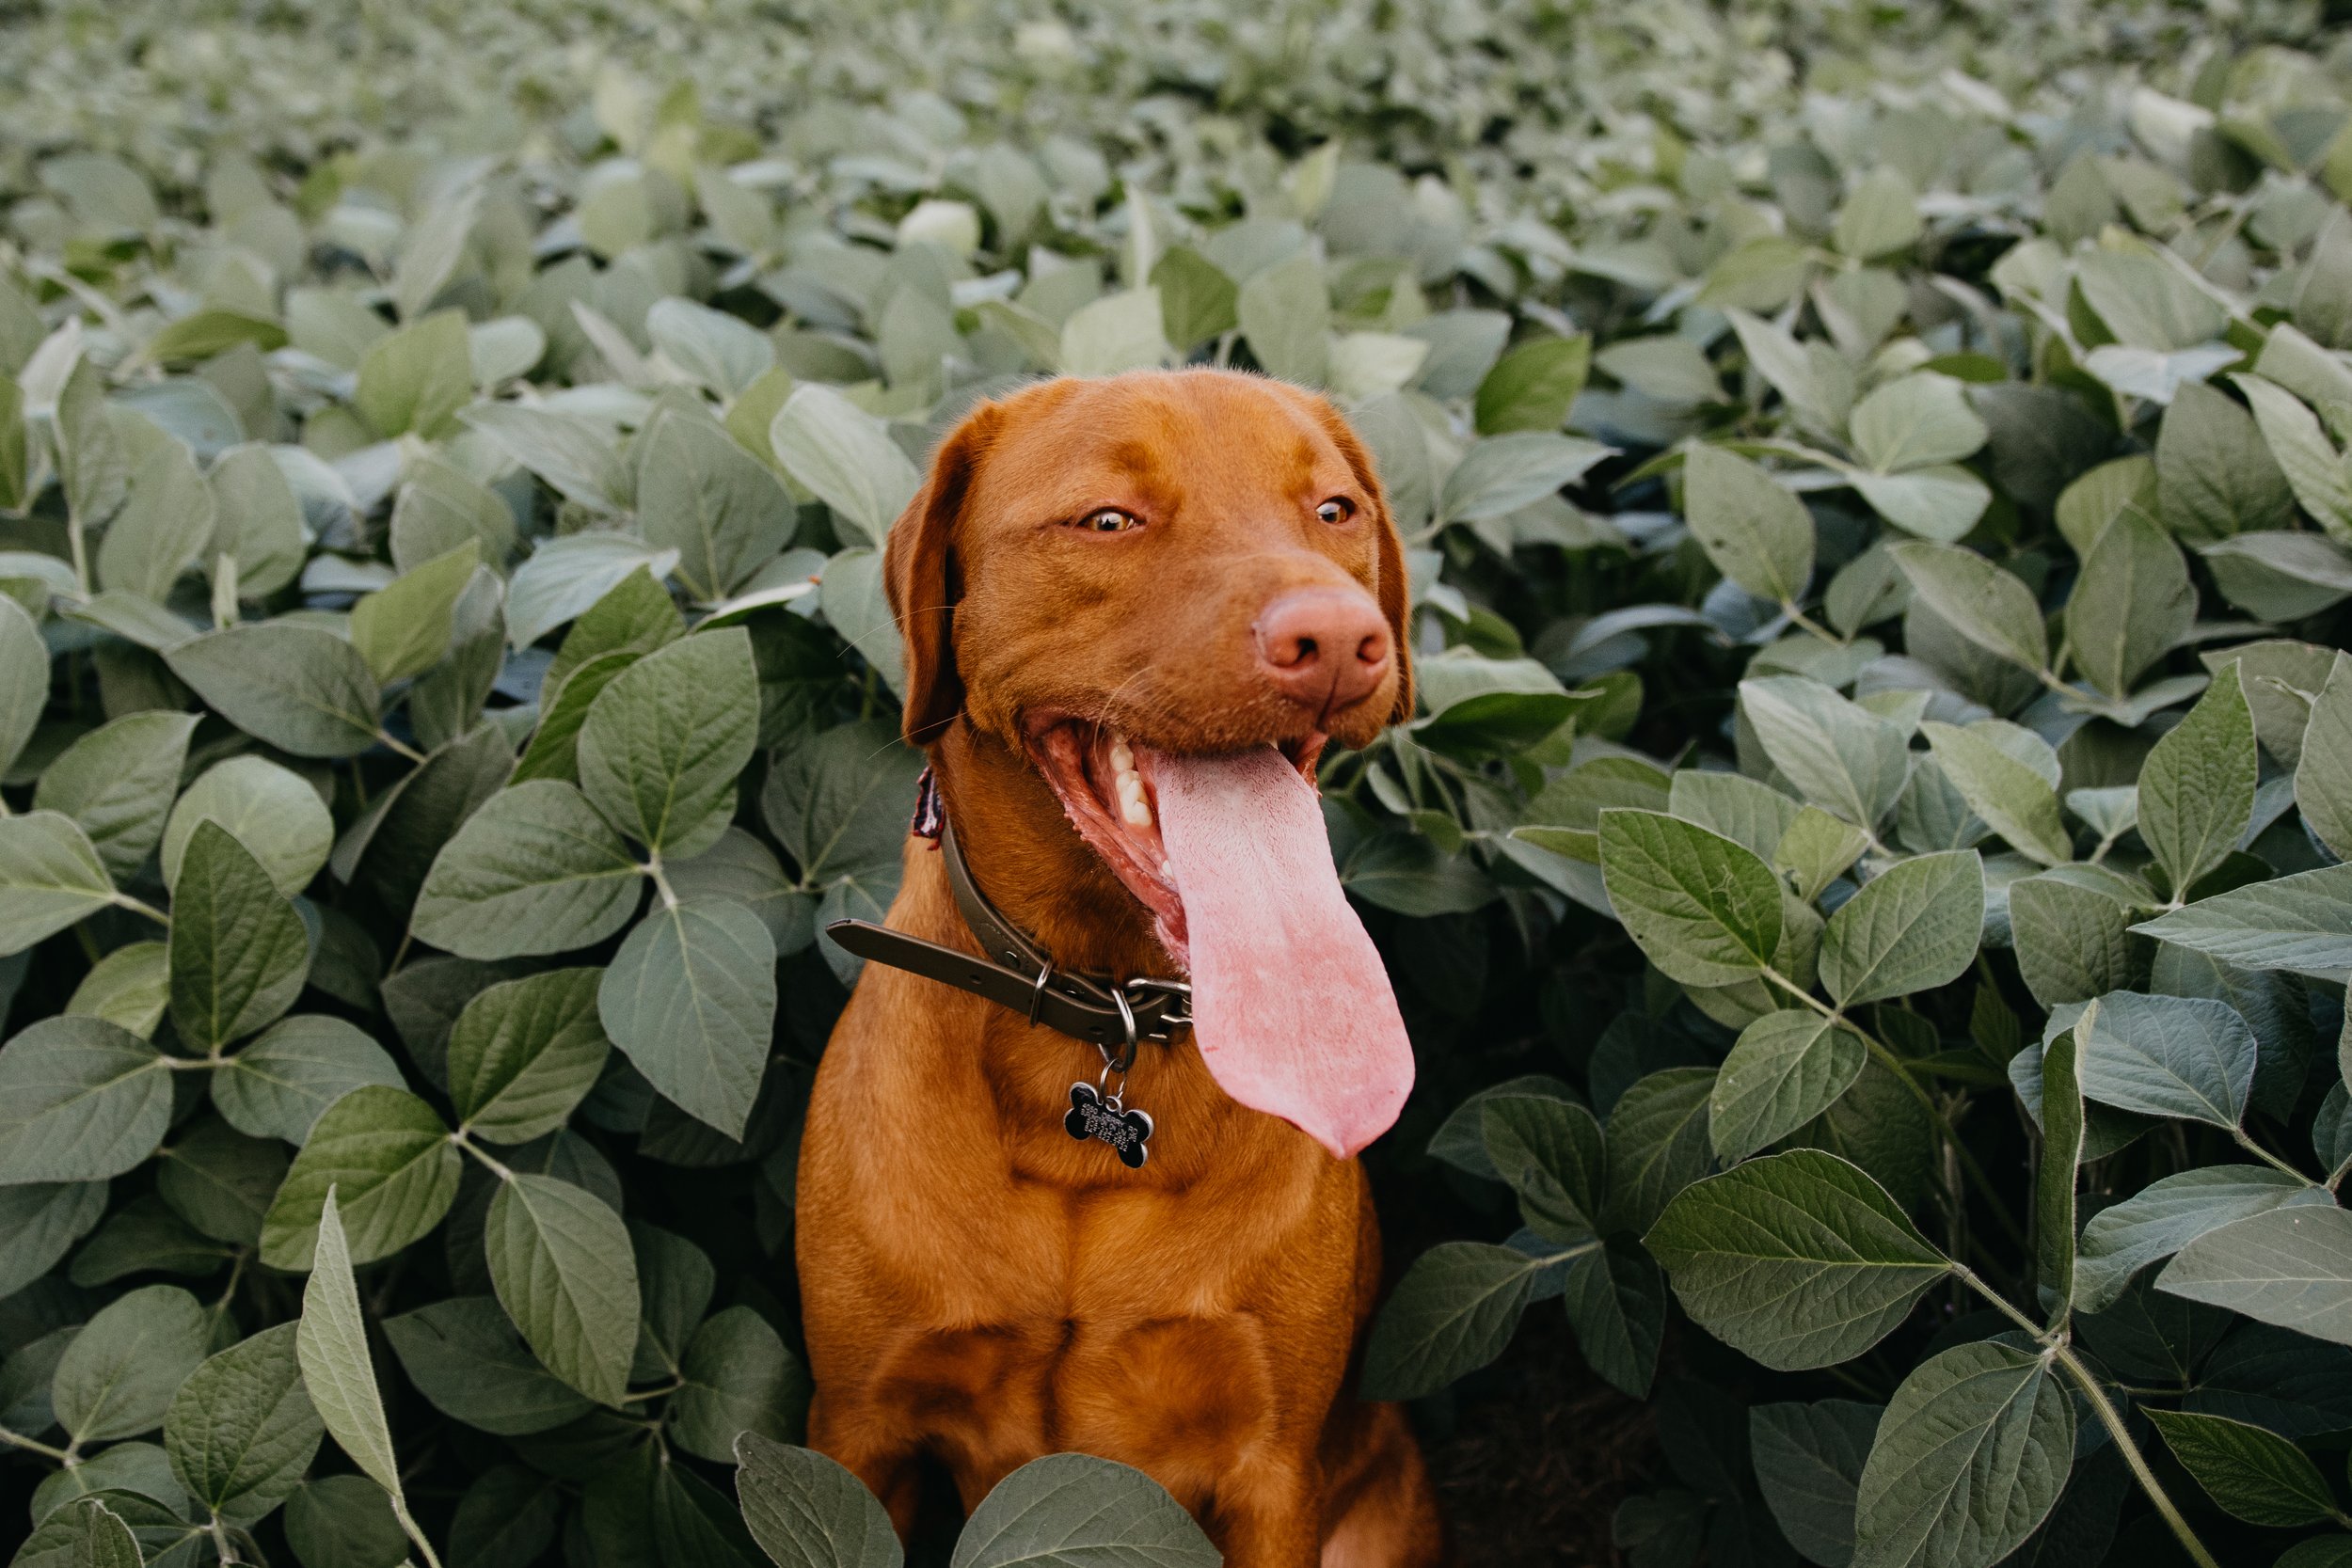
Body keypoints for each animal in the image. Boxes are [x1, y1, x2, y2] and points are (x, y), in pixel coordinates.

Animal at [800, 371, 1439, 1568]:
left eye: (1335, 510)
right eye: (1108, 520)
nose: (1338, 637)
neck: (1106, 1016)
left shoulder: (1272, 1470)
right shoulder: (855, 1429)